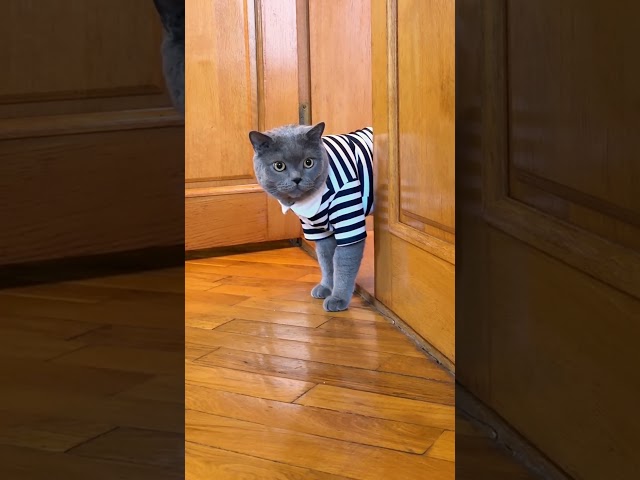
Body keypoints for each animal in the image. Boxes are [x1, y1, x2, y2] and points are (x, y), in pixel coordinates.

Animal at [248, 122, 372, 314]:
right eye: (279, 166)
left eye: (308, 162)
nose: (297, 179)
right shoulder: (318, 230)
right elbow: (326, 261)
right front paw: (326, 287)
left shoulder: (349, 222)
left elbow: (343, 264)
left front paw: (338, 298)